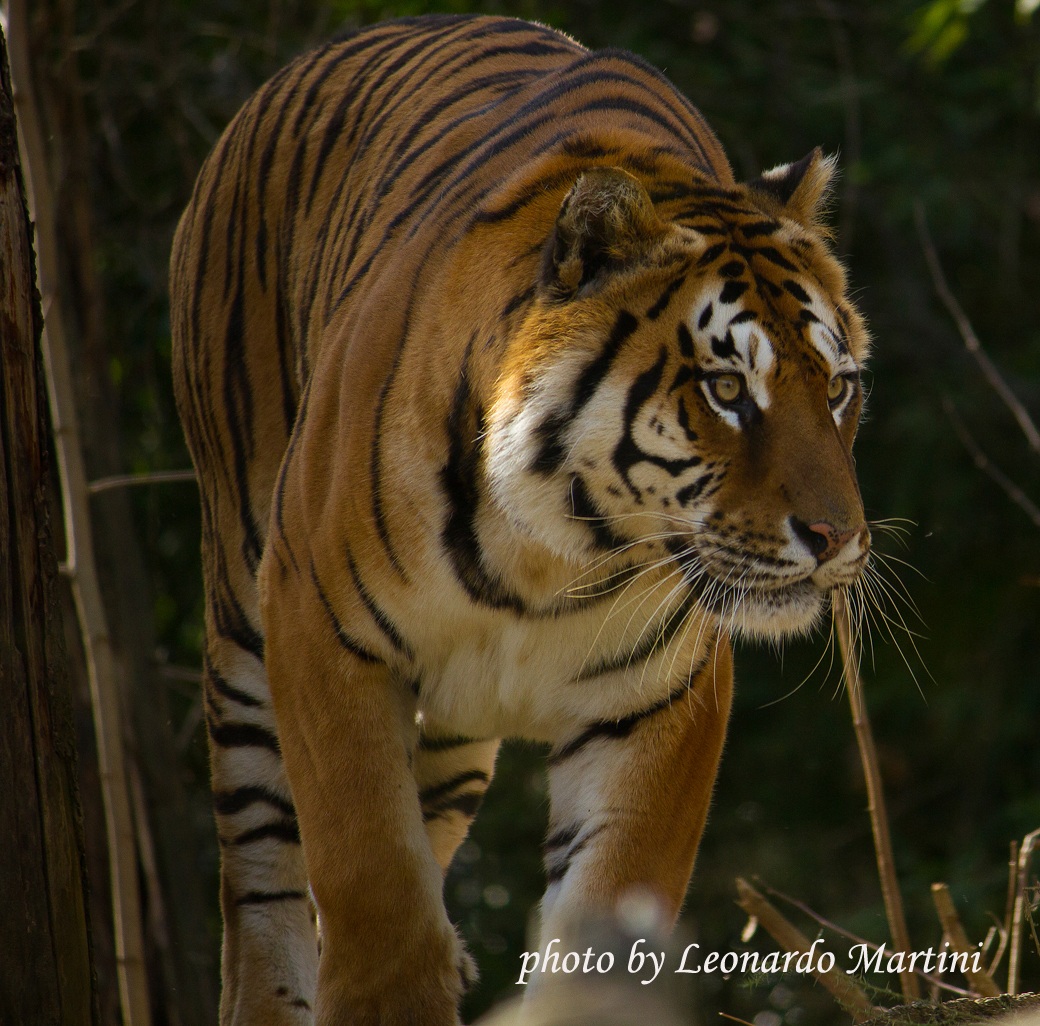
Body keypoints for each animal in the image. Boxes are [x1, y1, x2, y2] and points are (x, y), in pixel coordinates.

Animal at [170, 13, 870, 1026]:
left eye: (839, 387)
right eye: (729, 390)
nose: (837, 540)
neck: (553, 549)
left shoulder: (661, 698)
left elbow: (602, 935)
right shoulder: (321, 638)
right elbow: (377, 902)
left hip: (453, 737)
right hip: (243, 619)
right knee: (263, 880)